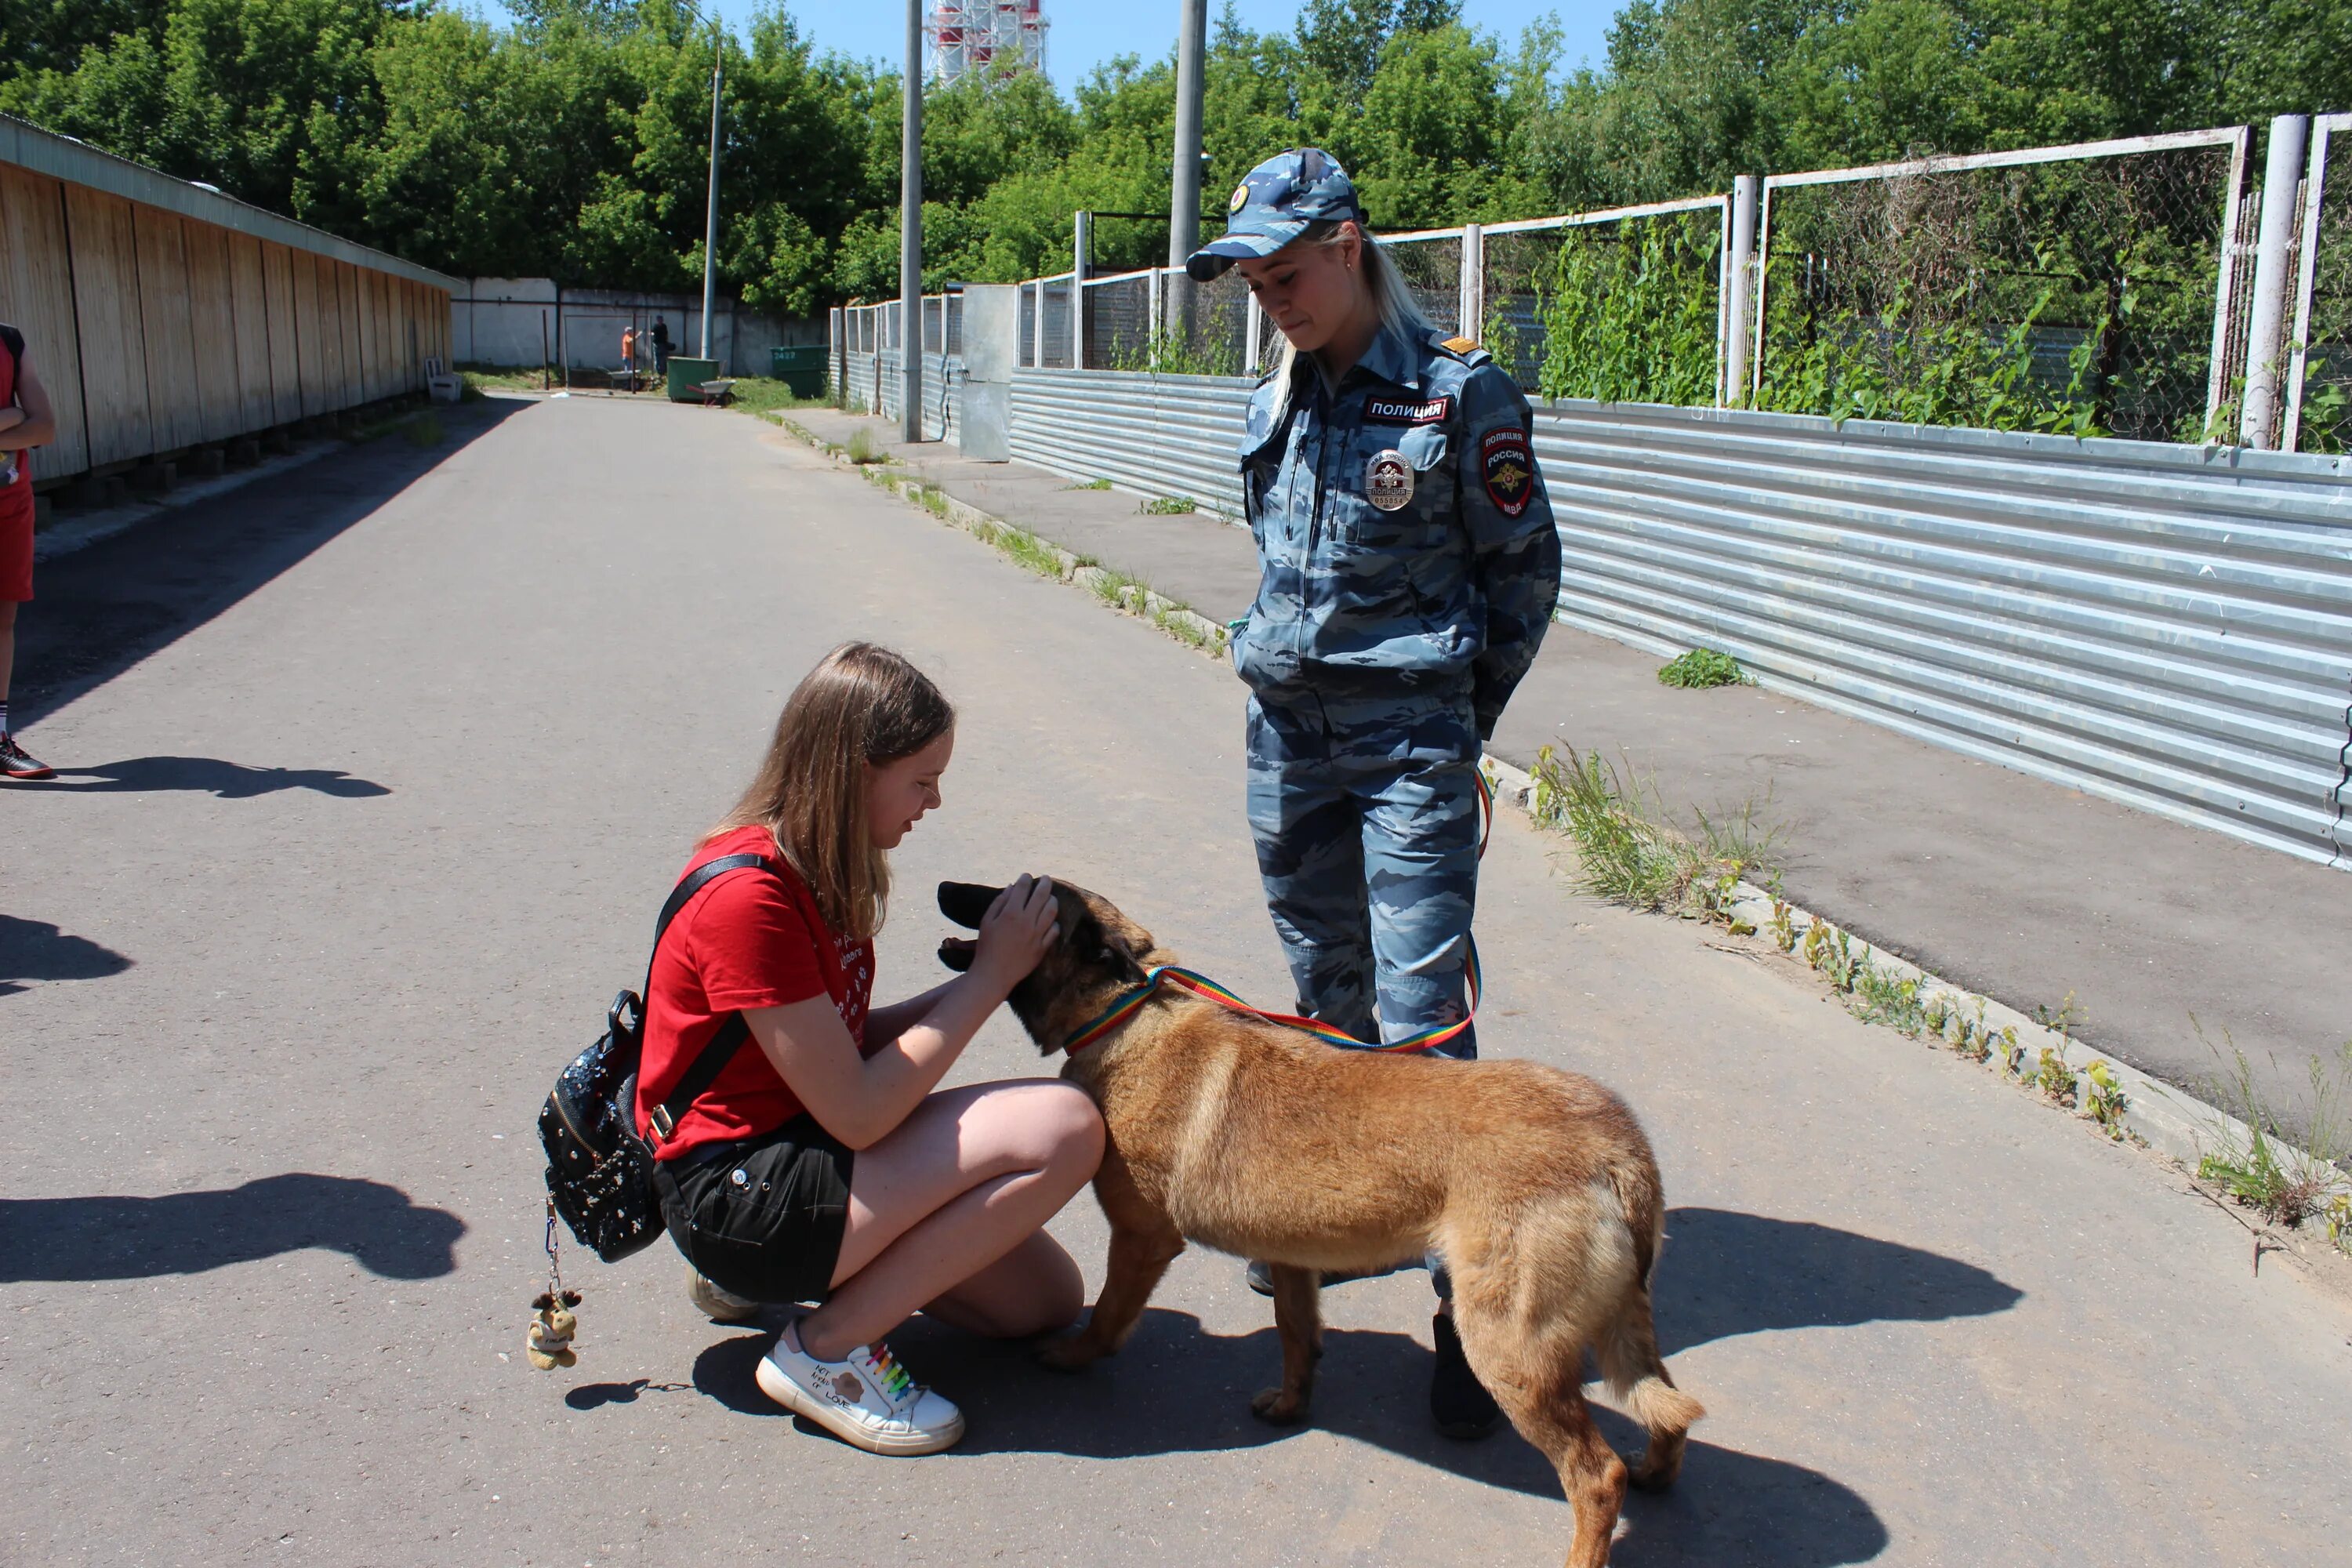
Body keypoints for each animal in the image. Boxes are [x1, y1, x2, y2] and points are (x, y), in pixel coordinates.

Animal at [941, 879, 1712, 1561]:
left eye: (1016, 893)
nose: (946, 888)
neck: (1124, 1012)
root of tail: (1617, 1144)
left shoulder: (1141, 1239)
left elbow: (1105, 1321)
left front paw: (1071, 1356)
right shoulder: (1291, 1259)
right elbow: (1296, 1339)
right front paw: (1291, 1406)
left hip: (1506, 1345)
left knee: (1596, 1476)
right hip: (1616, 1325)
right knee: (1669, 1409)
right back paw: (1656, 1471)